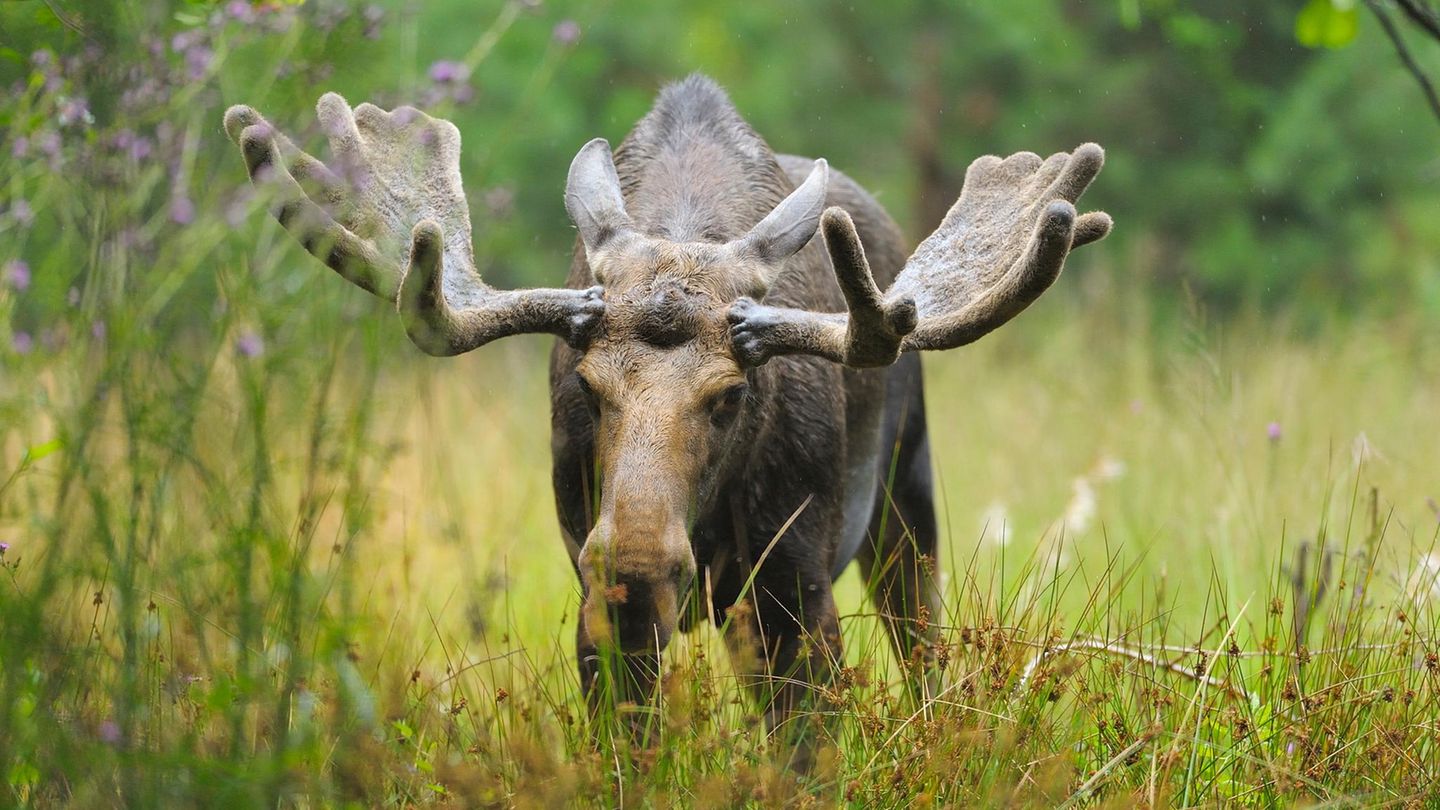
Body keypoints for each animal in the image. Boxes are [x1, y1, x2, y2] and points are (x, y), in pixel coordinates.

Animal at [221, 75, 1111, 743]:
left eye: (730, 394)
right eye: (586, 386)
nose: (636, 566)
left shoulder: (796, 584)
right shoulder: (592, 597)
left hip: (906, 488)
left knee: (924, 640)